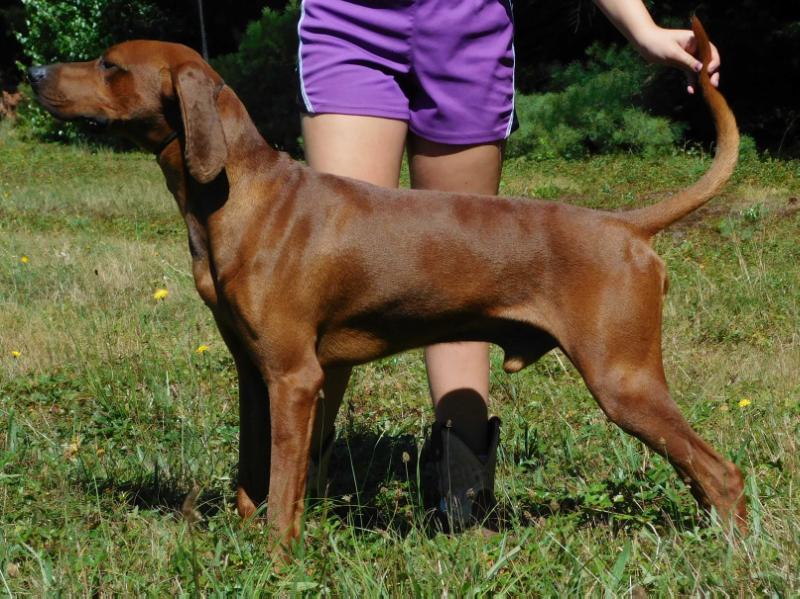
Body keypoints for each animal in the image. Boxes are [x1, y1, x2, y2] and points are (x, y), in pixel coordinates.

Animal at [29, 16, 744, 552]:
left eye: (109, 65)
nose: (34, 73)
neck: (240, 196)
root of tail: (625, 225)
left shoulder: (294, 376)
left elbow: (283, 483)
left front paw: (273, 557)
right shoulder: (254, 374)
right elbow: (252, 470)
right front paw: (241, 537)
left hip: (624, 379)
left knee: (722, 472)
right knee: (700, 472)